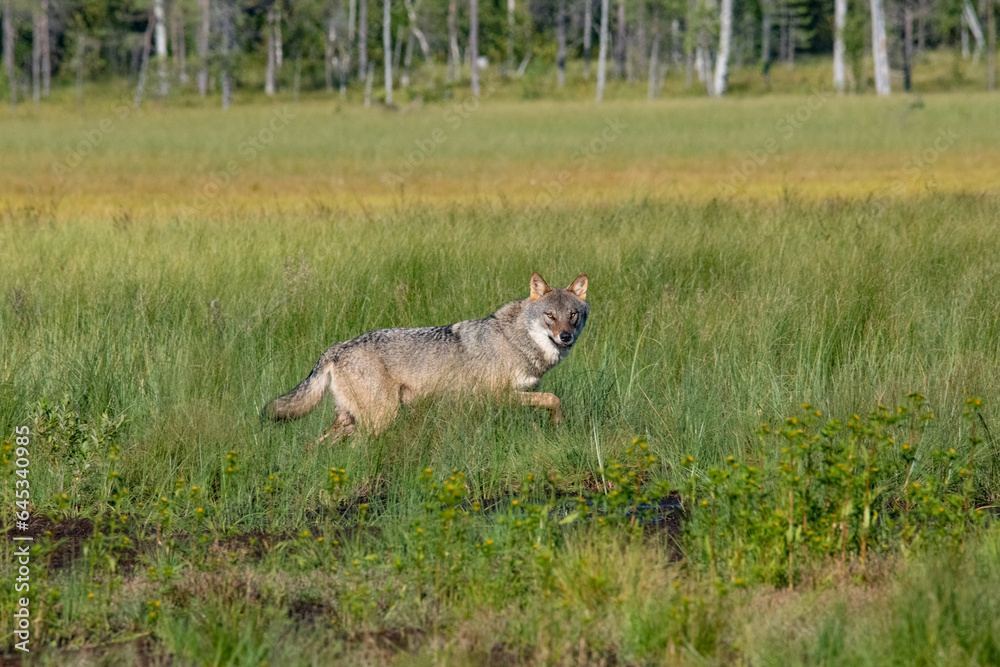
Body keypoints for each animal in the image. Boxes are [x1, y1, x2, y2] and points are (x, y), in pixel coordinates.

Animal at [263, 273, 589, 443]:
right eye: (550, 315)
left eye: (573, 314)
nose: (565, 337)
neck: (516, 340)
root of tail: (335, 348)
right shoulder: (496, 395)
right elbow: (553, 398)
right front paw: (559, 425)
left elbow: (547, 401)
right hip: (379, 420)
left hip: (349, 421)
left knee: (315, 447)